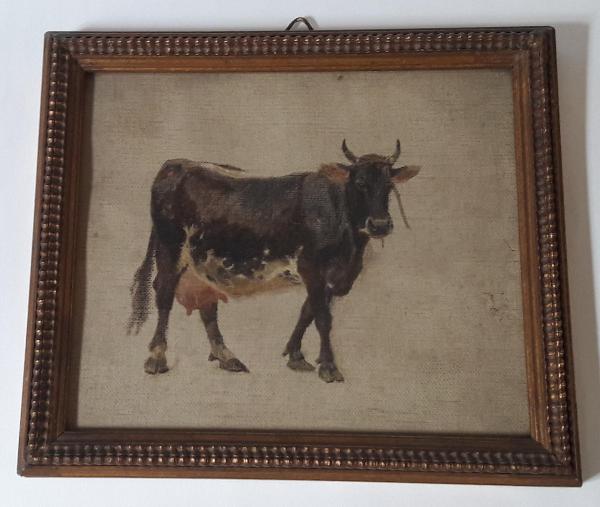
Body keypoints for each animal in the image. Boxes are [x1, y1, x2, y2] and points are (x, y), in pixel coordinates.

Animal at [127, 140, 420, 382]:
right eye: (359, 183)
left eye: (389, 186)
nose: (380, 225)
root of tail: (178, 163)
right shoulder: (311, 267)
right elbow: (323, 318)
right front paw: (328, 366)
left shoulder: (333, 275)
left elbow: (307, 312)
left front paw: (296, 355)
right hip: (170, 248)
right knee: (164, 295)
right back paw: (156, 357)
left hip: (203, 259)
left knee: (207, 303)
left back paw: (226, 356)